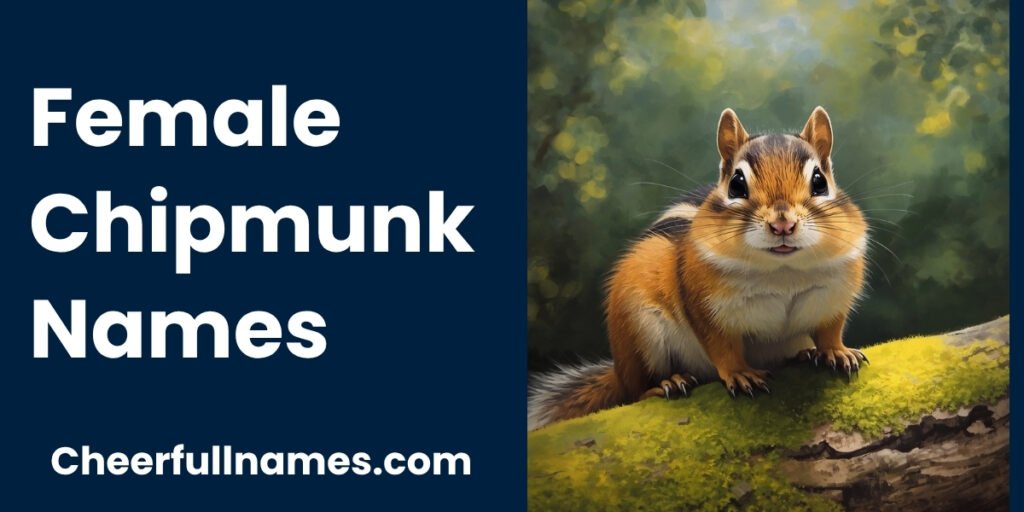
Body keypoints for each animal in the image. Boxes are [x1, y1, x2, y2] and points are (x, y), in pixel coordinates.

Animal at [528, 107, 869, 431]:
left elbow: (830, 329)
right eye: (736, 185)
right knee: (635, 390)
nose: (782, 224)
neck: (782, 272)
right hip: (637, 330)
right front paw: (739, 373)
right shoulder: (705, 306)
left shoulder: (833, 300)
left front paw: (835, 351)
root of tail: (617, 371)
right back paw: (667, 382)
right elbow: (721, 345)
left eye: (819, 182)